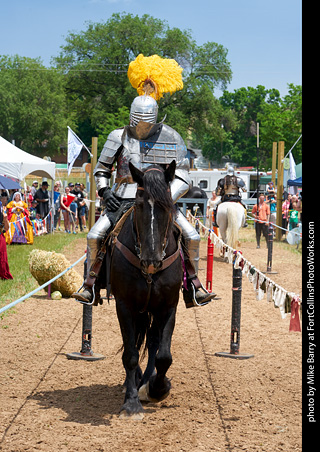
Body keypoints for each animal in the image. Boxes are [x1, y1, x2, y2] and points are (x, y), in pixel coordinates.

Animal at [109, 160, 181, 420]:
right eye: (139, 205)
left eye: (167, 205)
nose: (151, 260)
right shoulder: (125, 306)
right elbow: (130, 354)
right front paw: (131, 403)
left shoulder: (168, 307)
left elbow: (163, 355)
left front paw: (158, 388)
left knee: (151, 342)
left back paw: (146, 382)